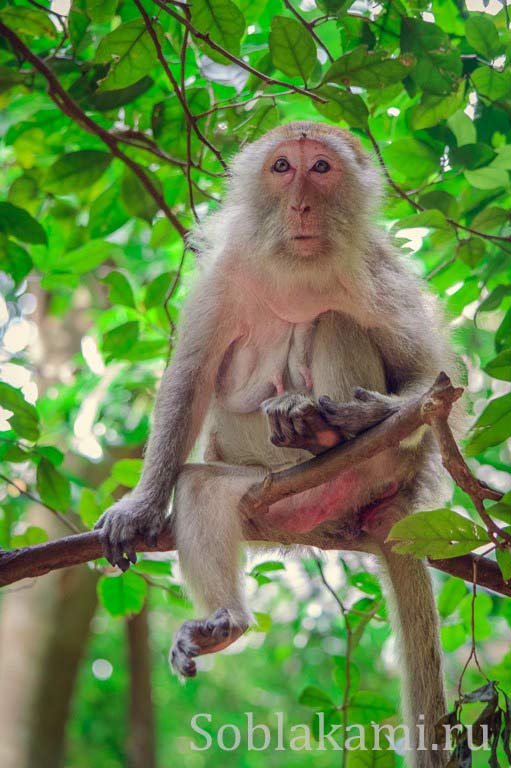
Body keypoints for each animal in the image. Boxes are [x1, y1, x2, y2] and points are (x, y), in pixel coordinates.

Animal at [97, 123, 456, 764]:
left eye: (321, 168)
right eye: (283, 167)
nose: (301, 205)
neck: (298, 271)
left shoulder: (377, 274)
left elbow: (427, 374)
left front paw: (371, 410)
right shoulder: (224, 275)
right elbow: (189, 383)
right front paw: (140, 507)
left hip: (379, 469)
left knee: (336, 321)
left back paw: (329, 433)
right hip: (279, 502)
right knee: (202, 487)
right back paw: (227, 624)